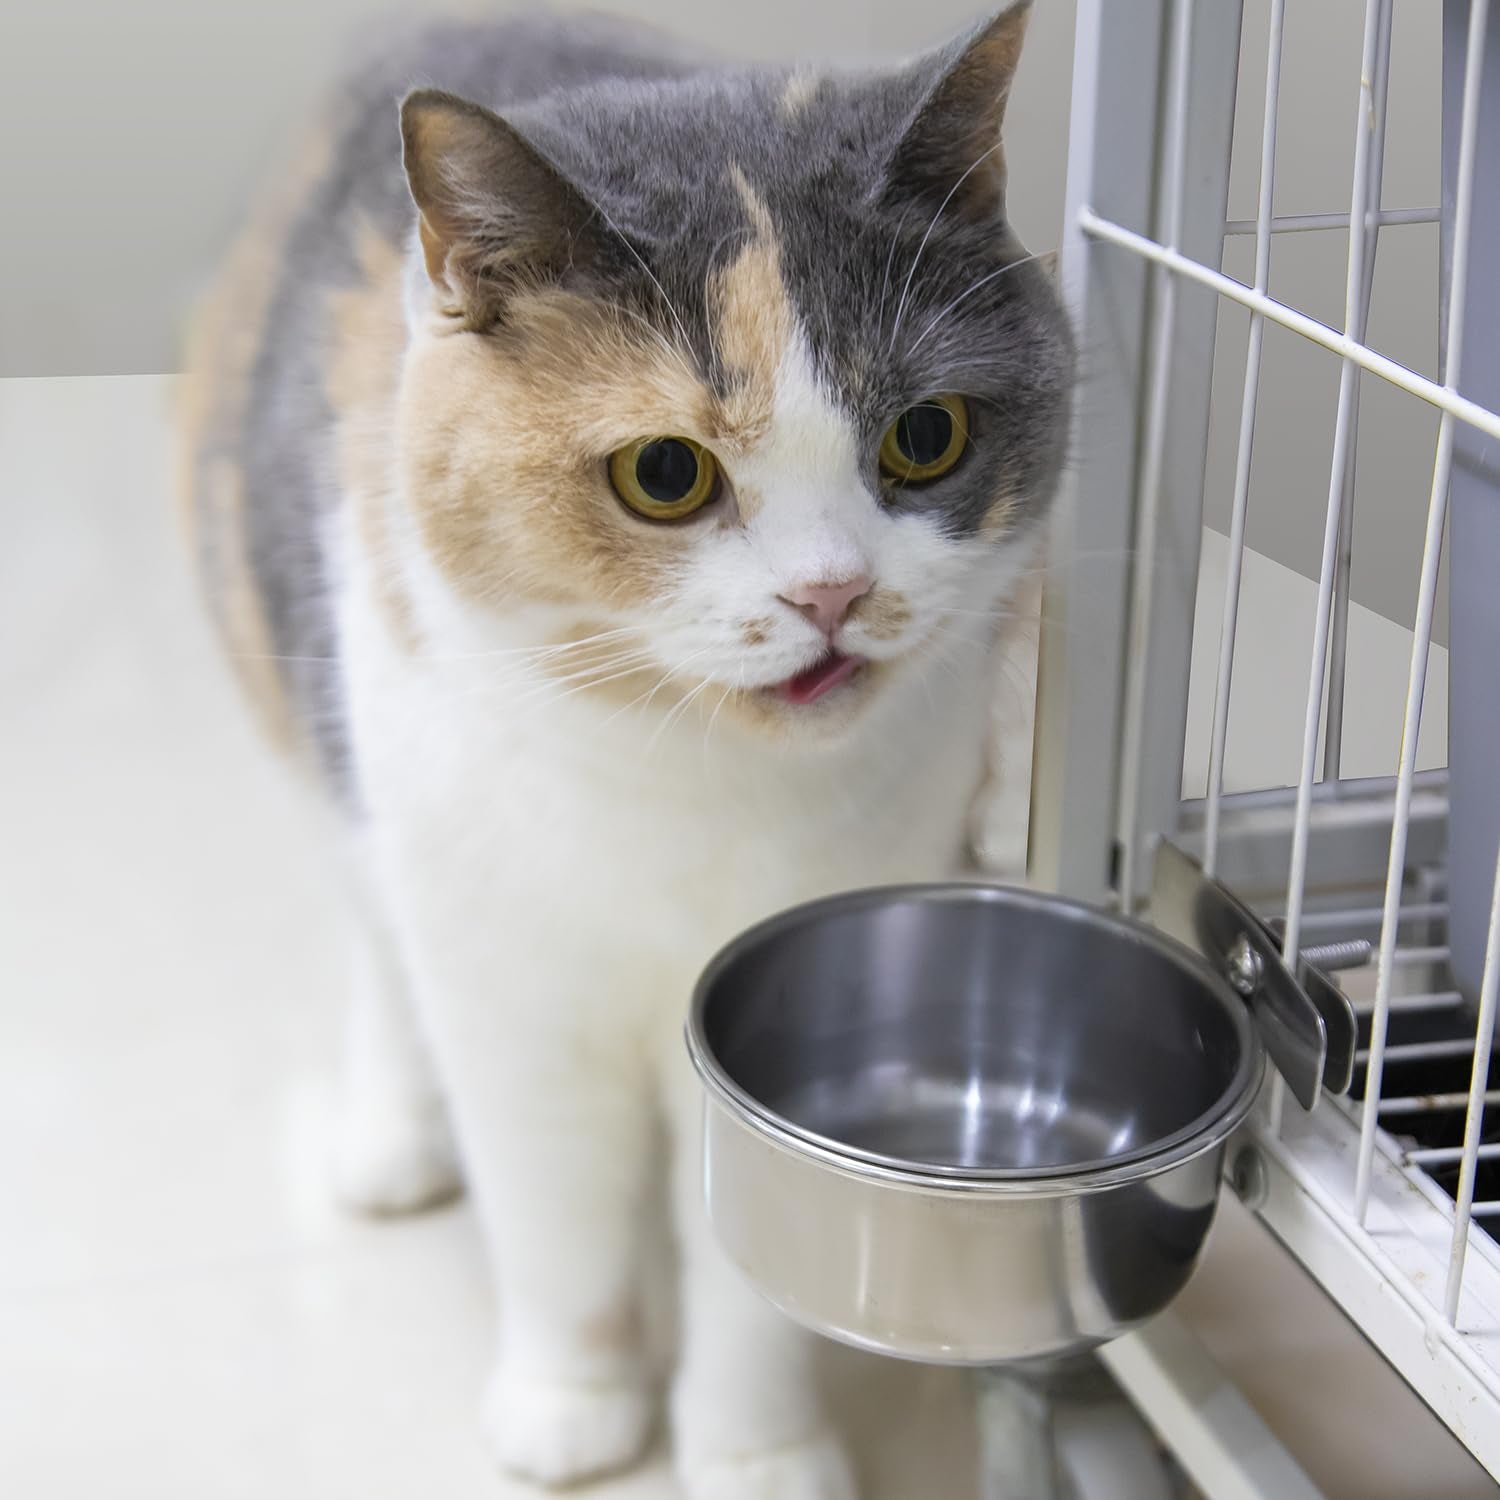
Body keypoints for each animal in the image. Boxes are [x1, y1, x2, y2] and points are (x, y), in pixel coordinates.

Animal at [175, 5, 1074, 1494]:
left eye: (926, 436)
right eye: (666, 474)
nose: (832, 594)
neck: (687, 794)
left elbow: (750, 1274)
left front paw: (756, 1454)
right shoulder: (517, 1000)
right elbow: (556, 1222)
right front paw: (574, 1406)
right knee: (376, 938)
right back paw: (393, 1135)